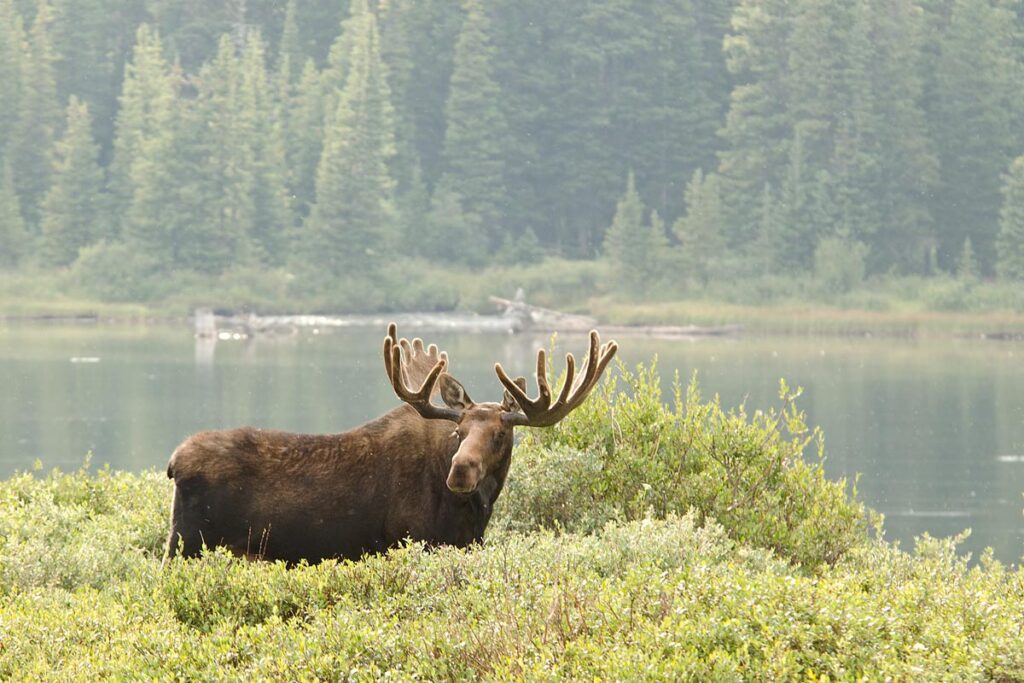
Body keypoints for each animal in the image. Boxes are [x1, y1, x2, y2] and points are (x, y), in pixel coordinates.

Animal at [164, 323, 614, 565]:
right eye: (458, 432)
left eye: (500, 434)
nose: (460, 471)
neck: (473, 513)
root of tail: (174, 463)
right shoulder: (410, 539)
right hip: (187, 545)